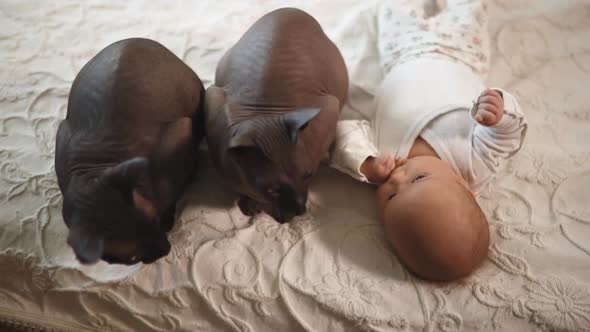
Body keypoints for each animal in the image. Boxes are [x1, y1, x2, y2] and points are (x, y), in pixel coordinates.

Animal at [55, 37, 207, 264]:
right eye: (133, 259)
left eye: (154, 220)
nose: (165, 250)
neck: (95, 167)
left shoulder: (180, 131)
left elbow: (174, 192)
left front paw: (170, 216)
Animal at [206, 7, 350, 223]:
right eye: (273, 190)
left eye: (308, 175)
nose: (300, 210)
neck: (265, 108)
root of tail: (293, 9)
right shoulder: (212, 99)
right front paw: (252, 204)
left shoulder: (330, 108)